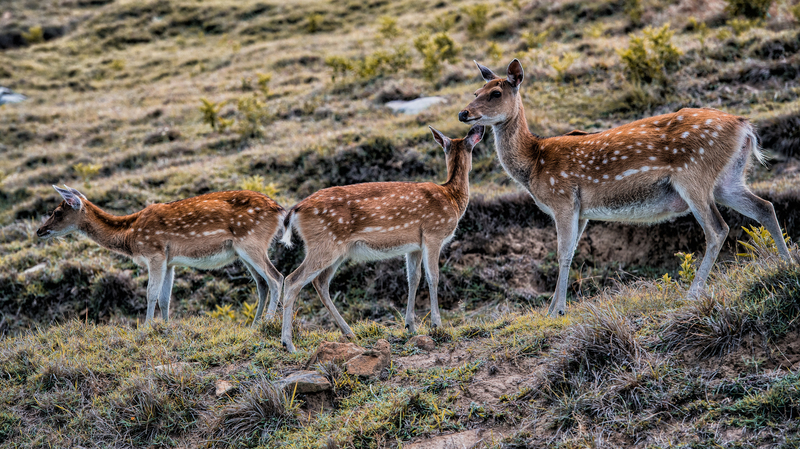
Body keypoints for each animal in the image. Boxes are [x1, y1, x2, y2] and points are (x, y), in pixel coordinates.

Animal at [37, 186, 285, 325]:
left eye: (57, 212)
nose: (39, 230)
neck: (130, 235)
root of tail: (280, 210)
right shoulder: (170, 261)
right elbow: (166, 297)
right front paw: (165, 326)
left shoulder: (154, 252)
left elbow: (151, 293)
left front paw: (147, 327)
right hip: (242, 251)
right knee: (262, 284)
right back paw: (254, 324)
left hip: (251, 242)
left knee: (276, 277)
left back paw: (268, 321)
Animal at [277, 125, 484, 352]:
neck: (451, 197)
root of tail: (295, 210)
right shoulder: (433, 234)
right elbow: (433, 277)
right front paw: (437, 325)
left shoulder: (414, 246)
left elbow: (413, 278)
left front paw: (410, 326)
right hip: (325, 243)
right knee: (292, 280)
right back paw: (289, 343)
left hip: (337, 250)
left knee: (320, 282)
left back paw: (349, 332)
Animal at [458, 59, 793, 318]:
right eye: (476, 91)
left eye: (496, 93)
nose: (464, 113)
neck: (533, 164)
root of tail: (745, 127)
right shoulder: (582, 210)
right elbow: (572, 251)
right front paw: (553, 307)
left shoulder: (563, 199)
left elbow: (562, 253)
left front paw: (557, 311)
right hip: (728, 179)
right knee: (764, 206)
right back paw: (787, 263)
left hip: (693, 175)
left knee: (718, 228)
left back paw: (692, 293)